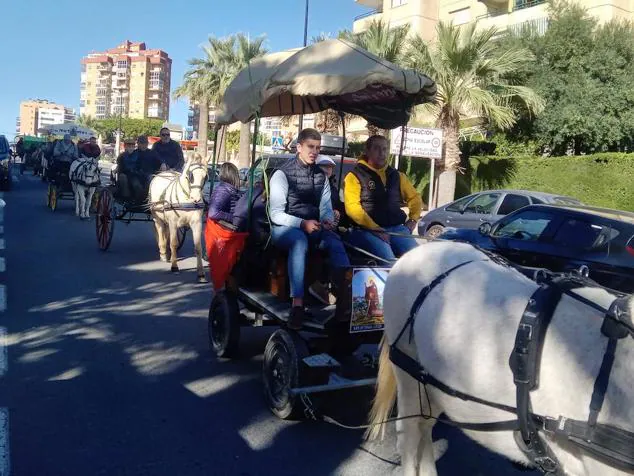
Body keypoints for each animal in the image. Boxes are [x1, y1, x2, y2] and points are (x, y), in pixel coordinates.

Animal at [148, 152, 207, 282]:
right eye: (190, 175)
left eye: (205, 177)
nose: (196, 199)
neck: (186, 198)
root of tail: (163, 172)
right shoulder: (173, 222)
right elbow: (174, 243)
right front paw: (174, 267)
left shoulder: (197, 223)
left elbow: (198, 247)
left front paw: (201, 274)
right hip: (157, 216)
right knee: (160, 230)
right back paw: (163, 253)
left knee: (166, 233)